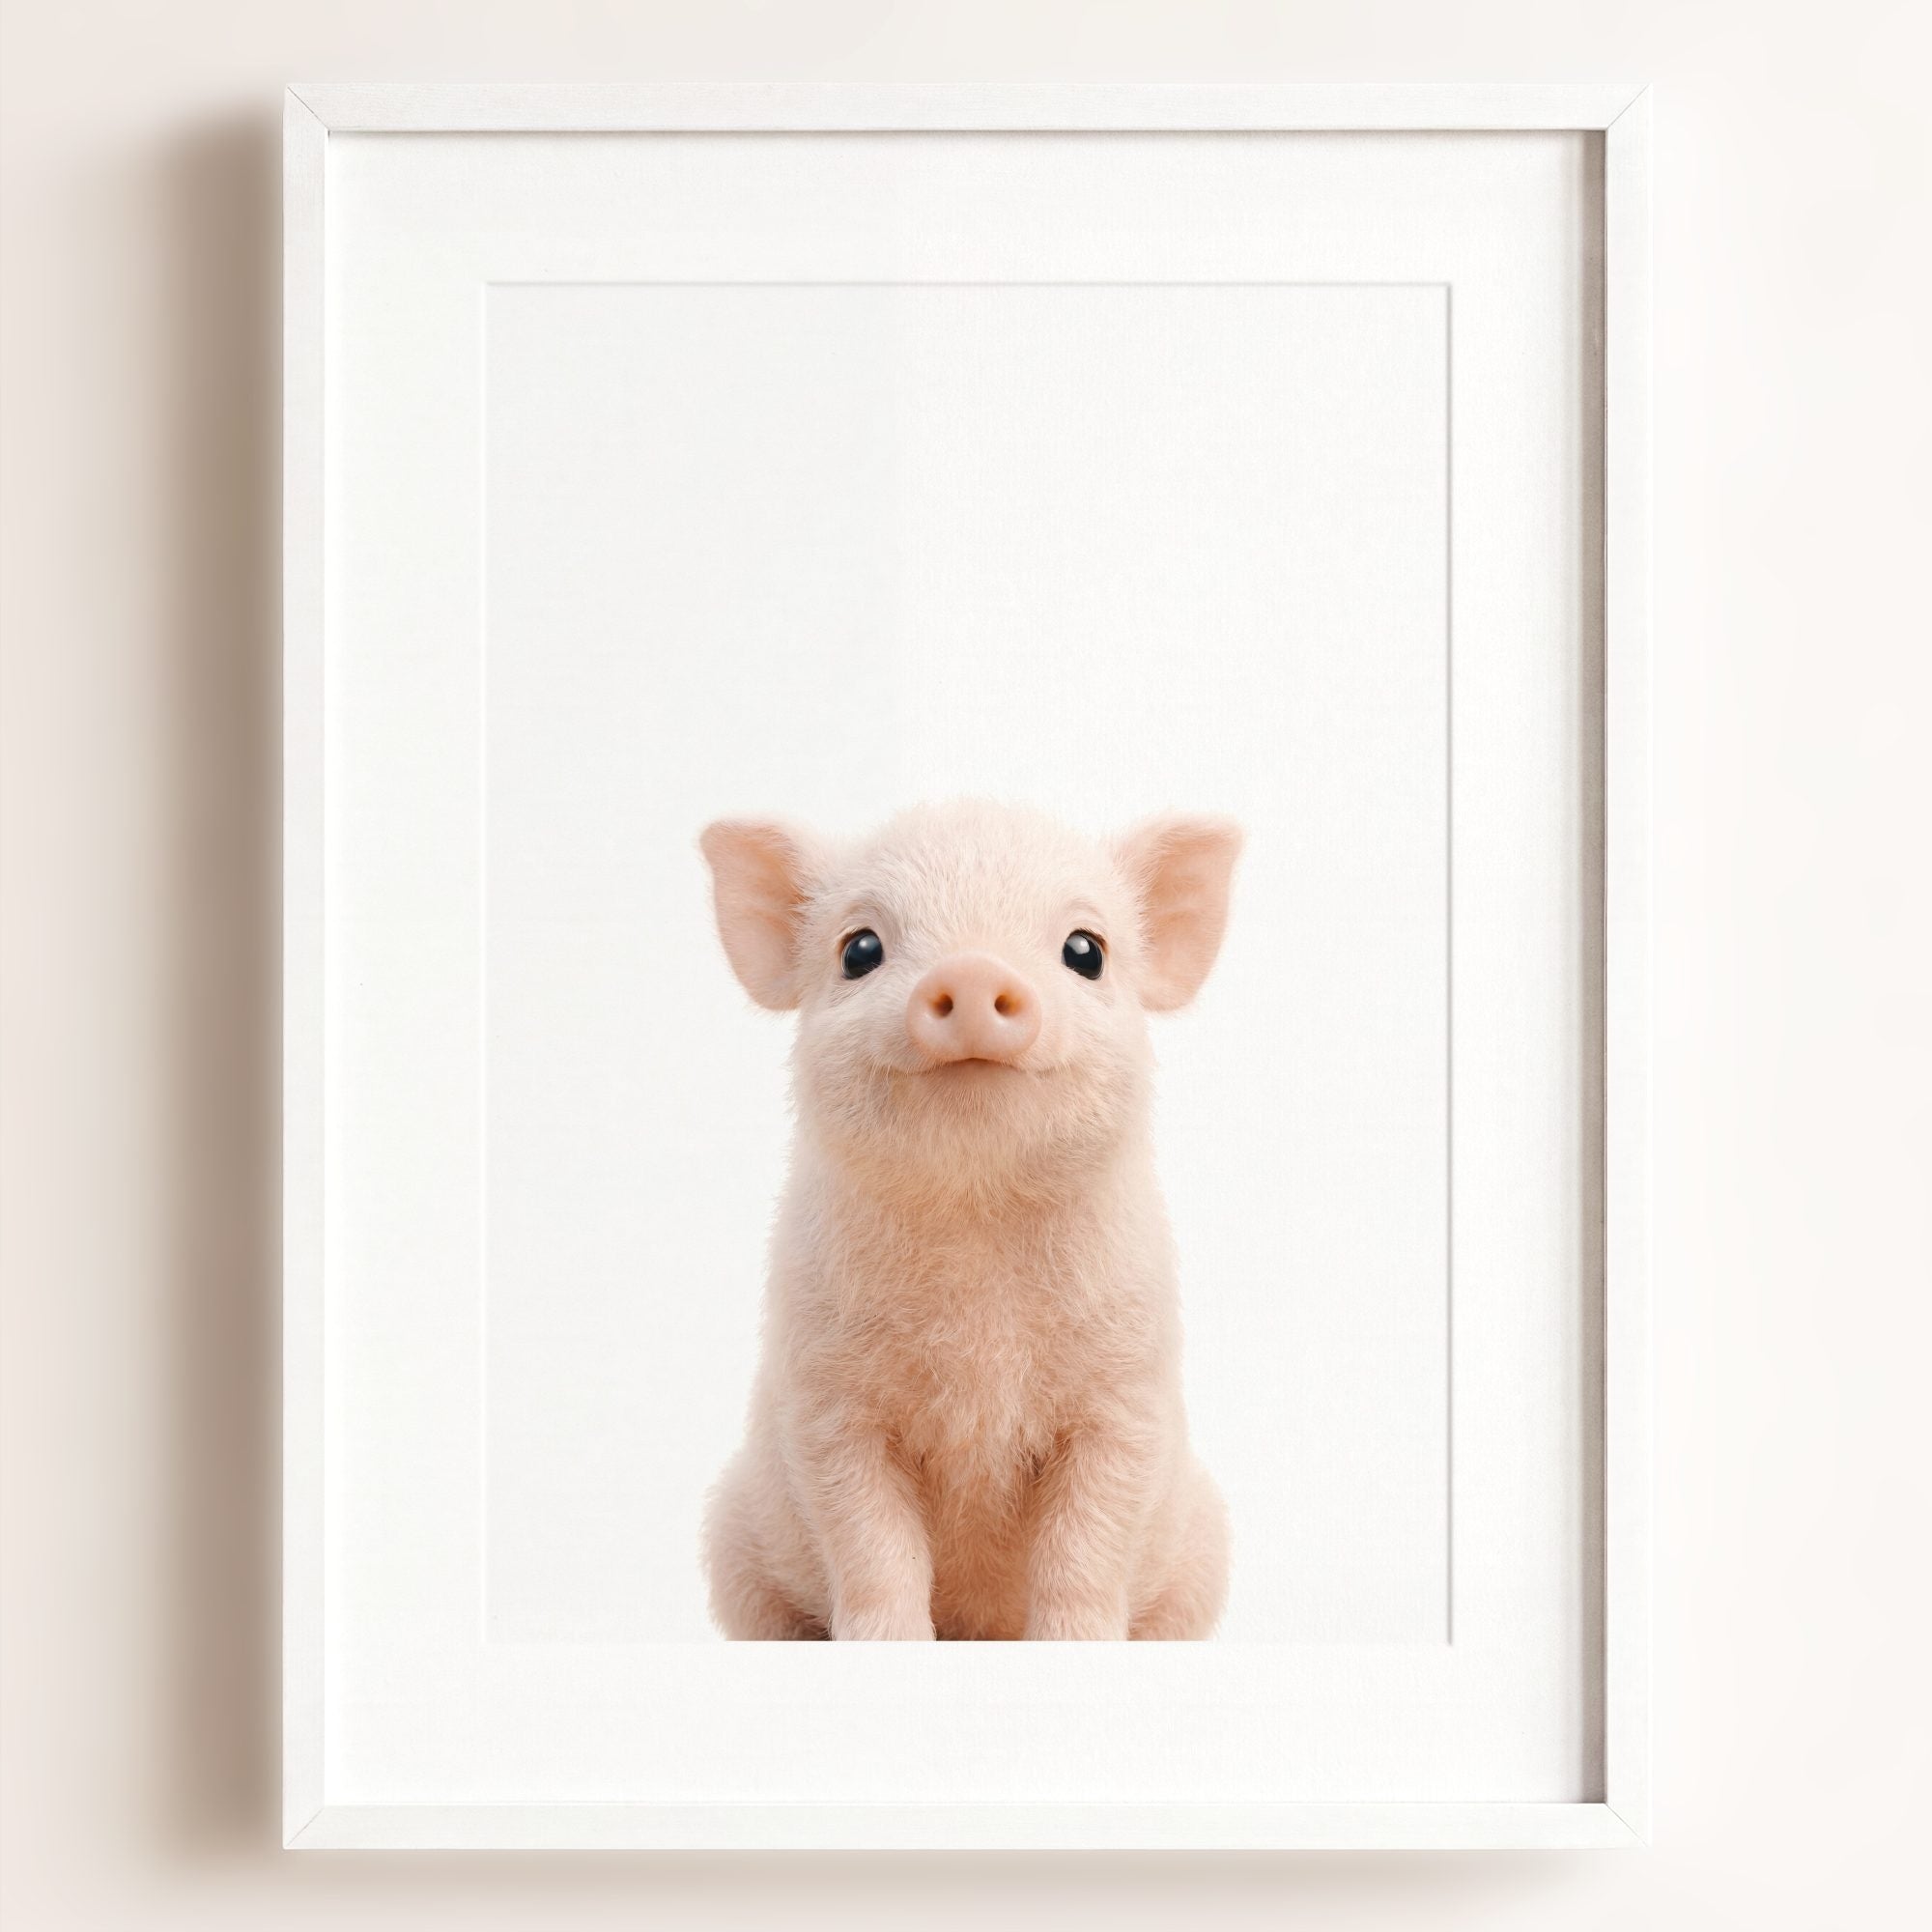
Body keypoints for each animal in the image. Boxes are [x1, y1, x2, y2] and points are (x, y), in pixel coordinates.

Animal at [698, 799, 1240, 1640]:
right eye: (860, 949)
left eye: (1086, 951)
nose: (974, 969)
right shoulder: (826, 1404)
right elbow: (872, 1546)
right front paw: (885, 1643)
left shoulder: (1126, 1396)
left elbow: (1086, 1547)